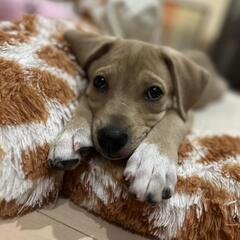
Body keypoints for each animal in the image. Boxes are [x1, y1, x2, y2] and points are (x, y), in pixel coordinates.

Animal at [47, 31, 226, 202]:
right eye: (99, 81)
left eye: (154, 92)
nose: (111, 138)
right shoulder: (90, 93)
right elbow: (84, 101)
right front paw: (70, 135)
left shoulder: (185, 112)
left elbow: (171, 120)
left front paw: (152, 162)